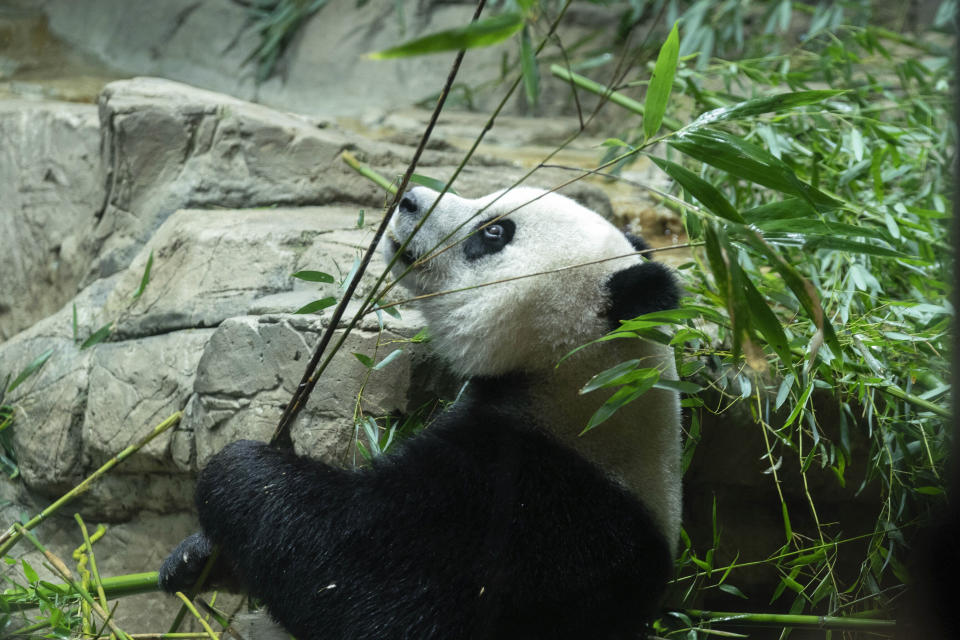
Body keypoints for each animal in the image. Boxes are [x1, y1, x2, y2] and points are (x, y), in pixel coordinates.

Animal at [159, 185, 684, 640]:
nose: (409, 199)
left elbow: (362, 583)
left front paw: (239, 470)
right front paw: (194, 560)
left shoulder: (537, 519)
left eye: (495, 231)